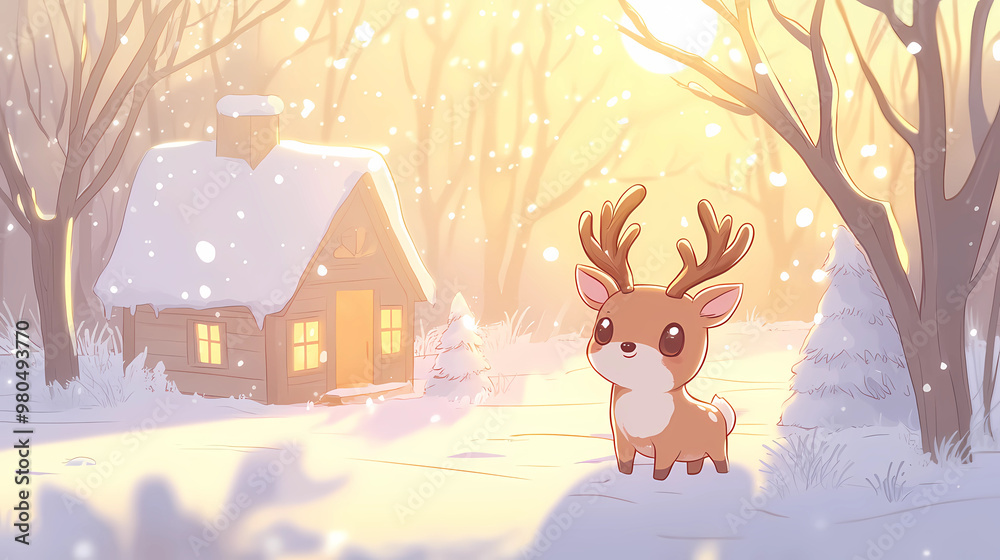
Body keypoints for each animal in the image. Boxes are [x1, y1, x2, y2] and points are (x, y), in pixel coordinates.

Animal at [575, 185, 753, 480]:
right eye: (603, 328)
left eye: (673, 338)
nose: (627, 346)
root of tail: (719, 413)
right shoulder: (621, 440)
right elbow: (625, 465)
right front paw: (625, 480)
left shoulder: (669, 446)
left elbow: (661, 471)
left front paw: (656, 484)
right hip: (696, 454)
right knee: (695, 465)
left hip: (717, 447)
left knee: (721, 462)